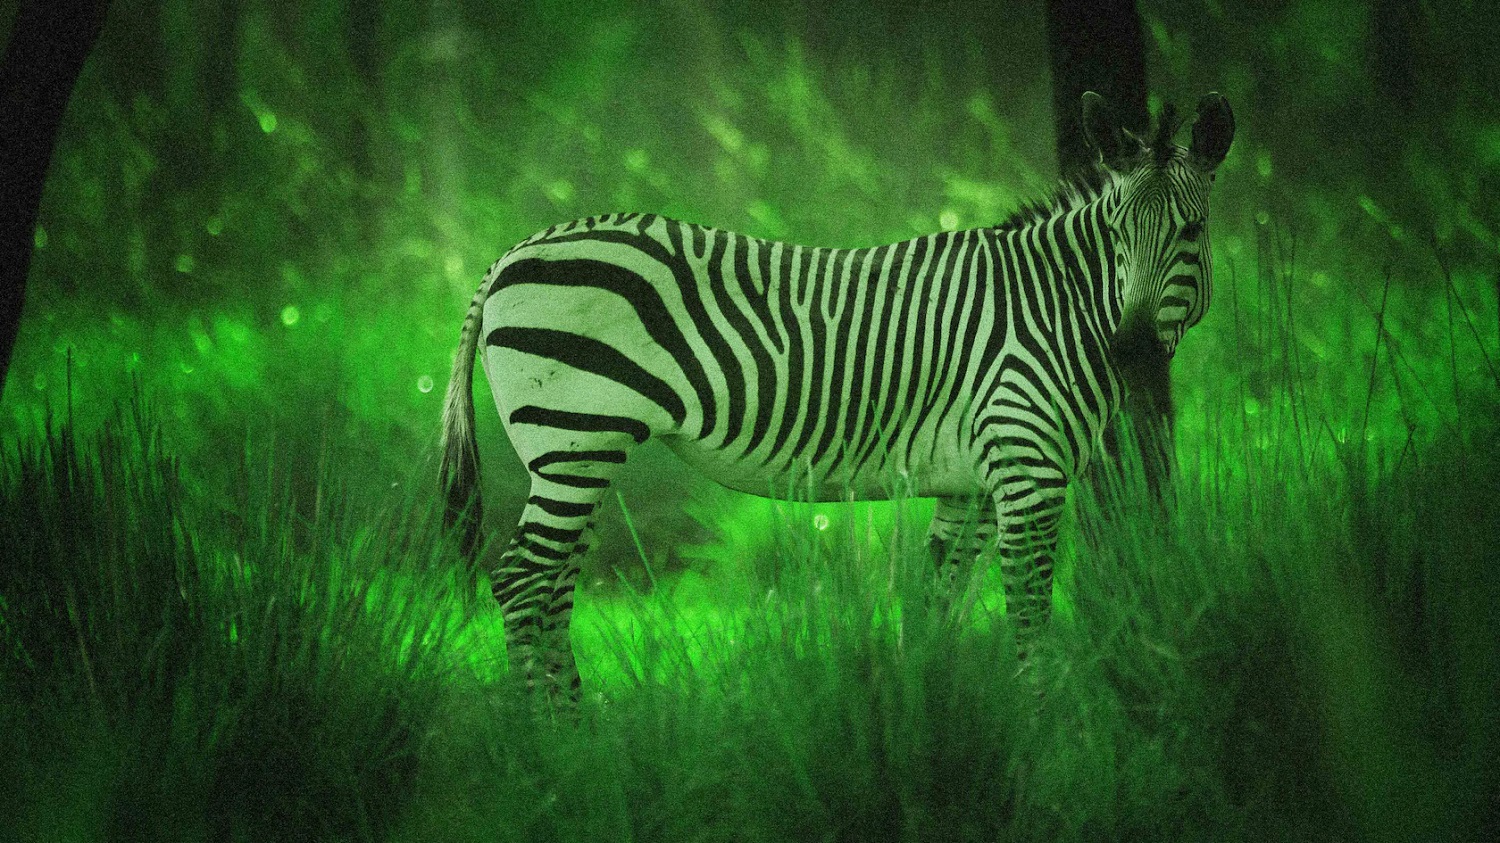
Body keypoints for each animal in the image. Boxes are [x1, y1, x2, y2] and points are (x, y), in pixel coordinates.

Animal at [438, 90, 1236, 696]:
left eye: (1191, 230)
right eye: (1118, 233)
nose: (1132, 353)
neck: (1058, 307)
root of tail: (512, 252)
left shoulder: (972, 486)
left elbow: (934, 605)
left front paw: (936, 718)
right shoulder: (1027, 472)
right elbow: (1030, 610)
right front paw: (1039, 720)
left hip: (576, 454)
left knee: (549, 587)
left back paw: (577, 727)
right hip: (573, 436)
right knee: (521, 582)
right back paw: (546, 740)